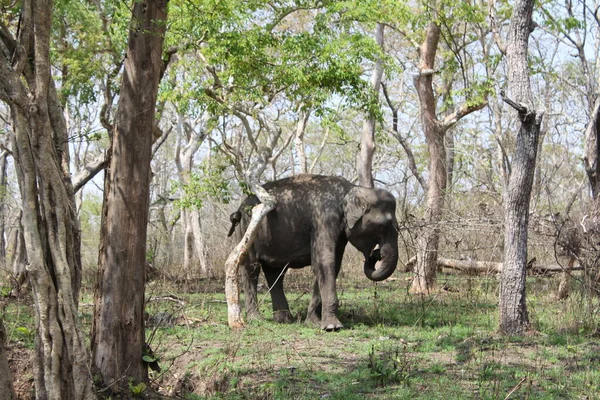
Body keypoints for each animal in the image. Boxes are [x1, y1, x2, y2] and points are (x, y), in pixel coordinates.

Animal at [229, 173, 398, 330]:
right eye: (383, 225)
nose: (376, 254)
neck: (350, 189)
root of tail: (239, 209)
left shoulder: (338, 231)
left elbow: (331, 265)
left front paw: (313, 322)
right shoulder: (323, 218)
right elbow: (324, 261)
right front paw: (332, 327)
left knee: (275, 273)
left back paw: (284, 319)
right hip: (247, 229)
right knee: (251, 269)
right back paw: (256, 319)